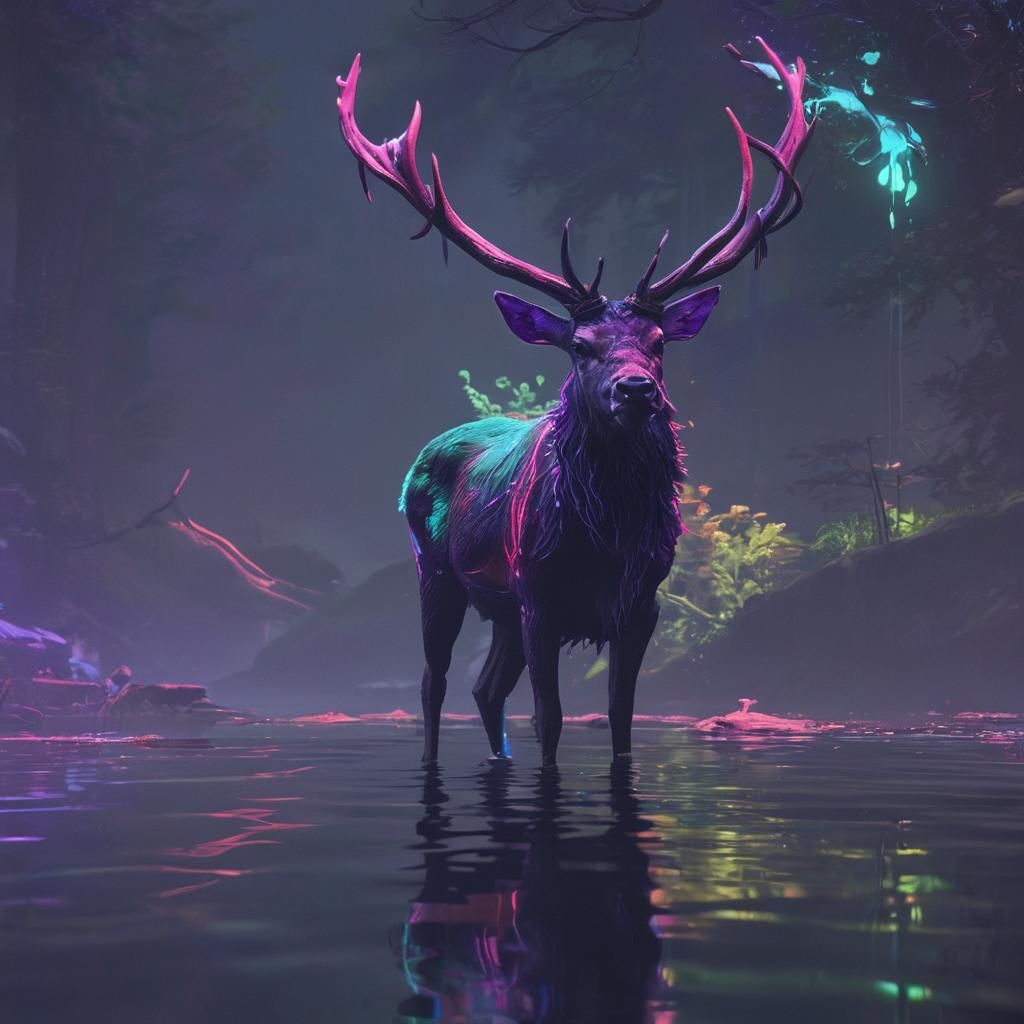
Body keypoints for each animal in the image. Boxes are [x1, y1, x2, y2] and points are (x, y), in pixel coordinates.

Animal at [336, 37, 814, 766]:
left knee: (485, 689)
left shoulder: (641, 601)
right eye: (581, 346)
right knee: (433, 683)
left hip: (499, 609)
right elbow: (552, 718)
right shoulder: (539, 593)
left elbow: (619, 718)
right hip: (437, 574)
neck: (607, 535)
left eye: (658, 342)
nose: (636, 389)